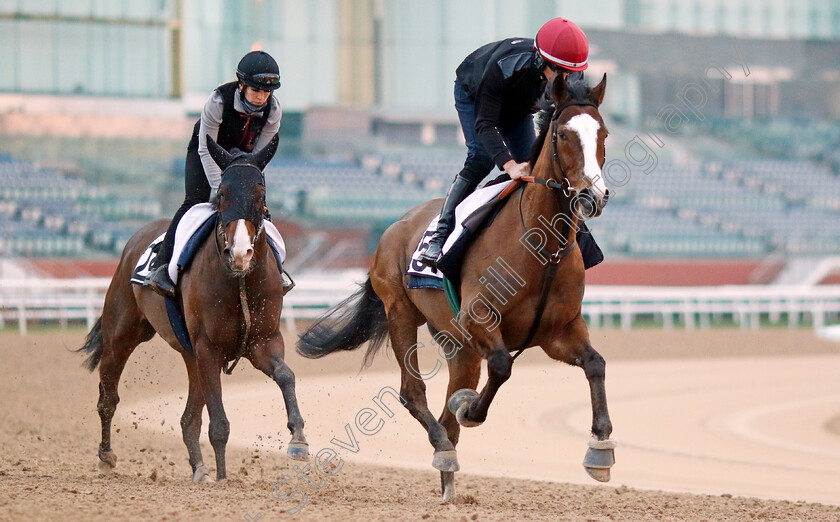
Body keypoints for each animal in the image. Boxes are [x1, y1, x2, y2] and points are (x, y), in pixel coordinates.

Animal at [77, 134, 308, 480]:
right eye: (222, 193)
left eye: (261, 195)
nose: (240, 253)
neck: (239, 280)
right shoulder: (208, 349)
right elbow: (220, 423)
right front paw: (223, 478)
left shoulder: (262, 342)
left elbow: (286, 376)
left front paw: (298, 440)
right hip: (123, 334)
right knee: (108, 395)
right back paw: (106, 456)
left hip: (190, 355)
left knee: (188, 418)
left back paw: (199, 468)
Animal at [298, 74, 612, 500]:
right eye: (563, 134)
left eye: (604, 134)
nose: (592, 195)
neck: (540, 246)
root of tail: (394, 227)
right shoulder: (479, 319)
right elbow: (500, 368)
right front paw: (472, 409)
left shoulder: (560, 331)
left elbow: (595, 364)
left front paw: (600, 450)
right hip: (401, 312)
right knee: (414, 394)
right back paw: (444, 449)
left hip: (457, 344)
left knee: (449, 404)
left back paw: (448, 480)